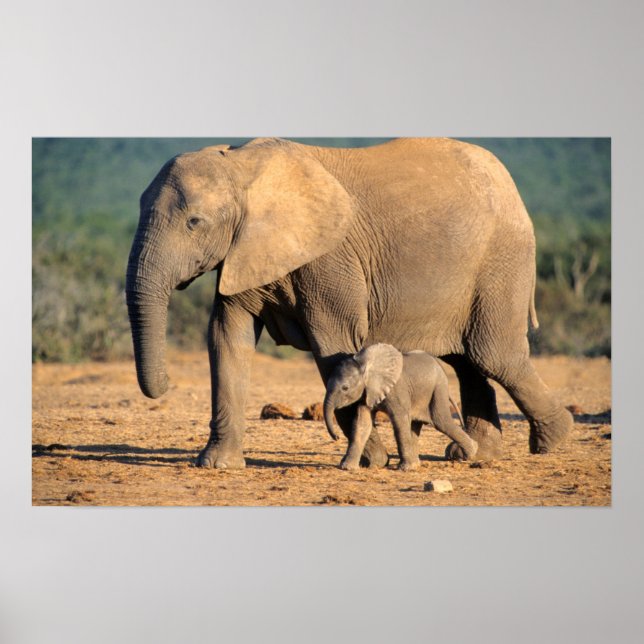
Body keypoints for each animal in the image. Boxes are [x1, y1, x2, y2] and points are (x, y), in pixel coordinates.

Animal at [323, 344, 477, 471]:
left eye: (345, 388)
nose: (336, 437)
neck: (364, 363)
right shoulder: (367, 393)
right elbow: (362, 424)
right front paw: (347, 468)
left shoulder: (397, 390)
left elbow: (399, 421)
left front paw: (406, 469)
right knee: (416, 425)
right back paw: (417, 464)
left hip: (438, 388)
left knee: (441, 421)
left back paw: (470, 453)